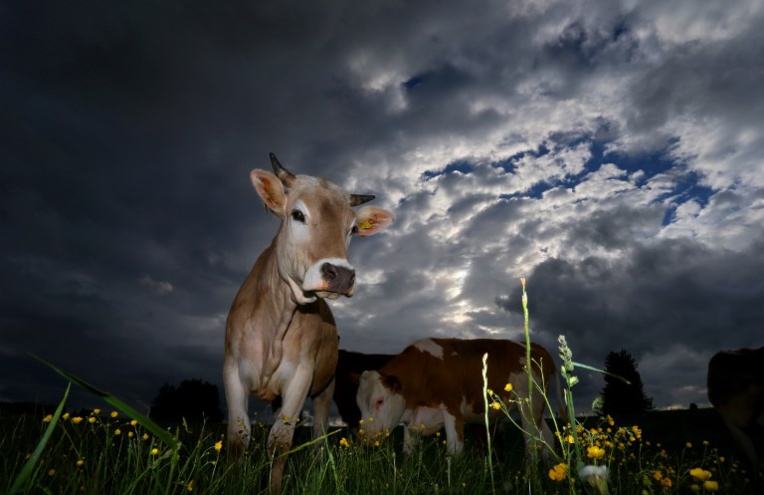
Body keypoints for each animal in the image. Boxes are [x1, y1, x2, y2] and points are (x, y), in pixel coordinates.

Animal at [224, 153, 394, 494]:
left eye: (352, 228)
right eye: (298, 214)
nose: (340, 274)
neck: (276, 321)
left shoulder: (302, 376)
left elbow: (280, 442)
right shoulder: (232, 368)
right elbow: (238, 439)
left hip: (325, 388)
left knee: (317, 435)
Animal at [355, 337, 558, 460]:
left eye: (379, 401)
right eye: (359, 406)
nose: (365, 437)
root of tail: (539, 348)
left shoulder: (452, 409)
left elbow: (454, 452)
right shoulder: (411, 418)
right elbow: (407, 452)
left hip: (529, 408)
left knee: (531, 444)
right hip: (539, 411)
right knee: (547, 439)